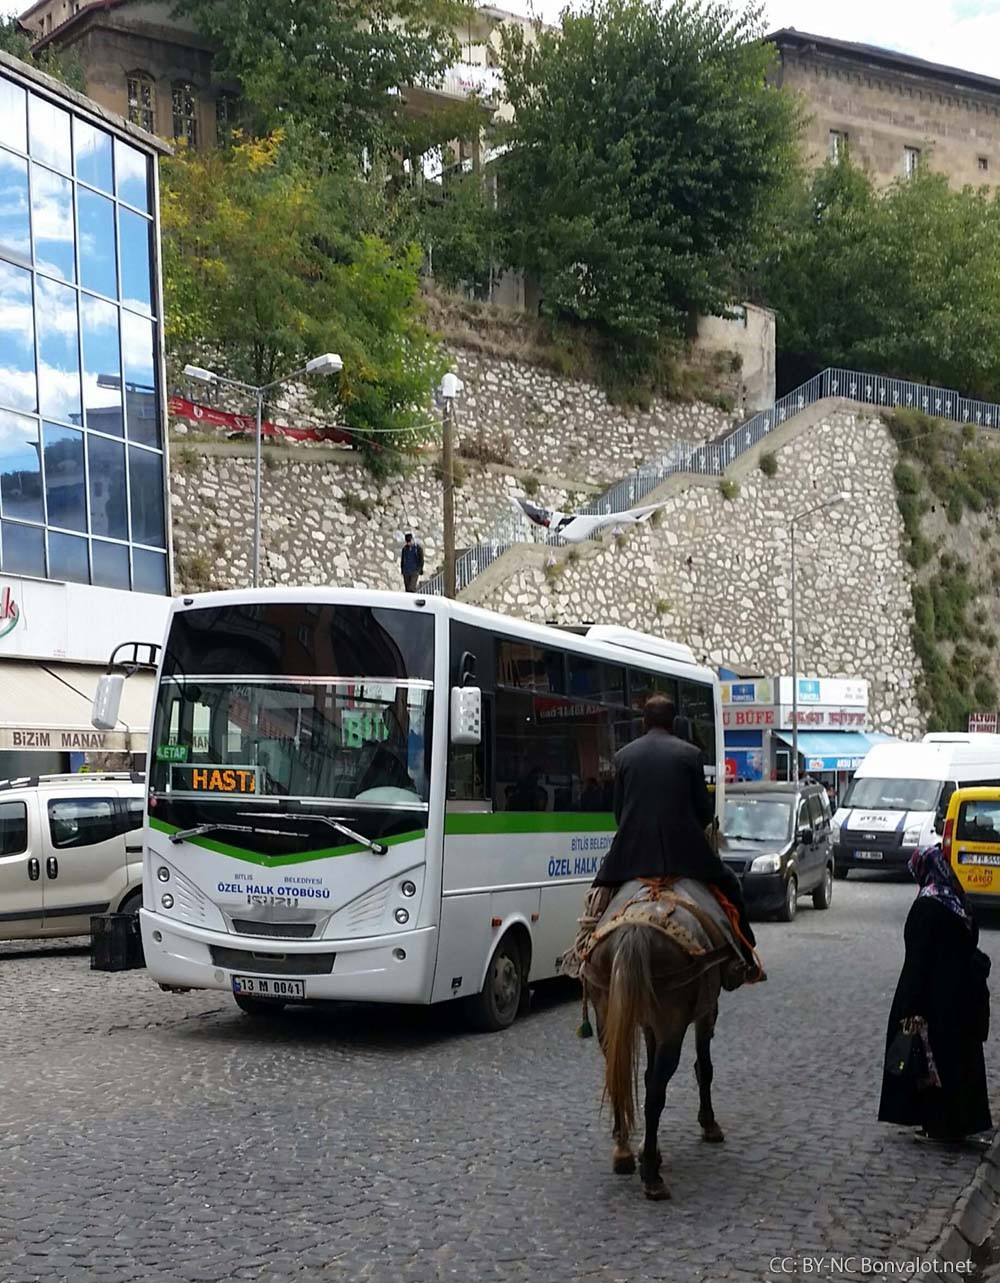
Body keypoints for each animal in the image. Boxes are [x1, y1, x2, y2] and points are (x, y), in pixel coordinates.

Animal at [582, 885, 732, 1201]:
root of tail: (635, 929)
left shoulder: (650, 1026)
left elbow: (647, 1073)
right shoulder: (706, 1011)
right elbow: (704, 1067)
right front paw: (709, 1124)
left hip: (607, 1016)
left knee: (619, 1079)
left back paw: (624, 1152)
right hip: (672, 1026)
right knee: (655, 1095)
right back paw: (651, 1174)